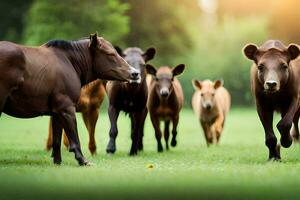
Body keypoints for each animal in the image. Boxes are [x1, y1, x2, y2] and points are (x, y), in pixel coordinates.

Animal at [0, 33, 138, 166]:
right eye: (110, 54)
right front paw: (82, 160)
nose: (135, 73)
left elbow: (56, 140)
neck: (69, 61)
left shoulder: (57, 112)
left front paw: (57, 162)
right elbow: (74, 139)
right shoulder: (67, 108)